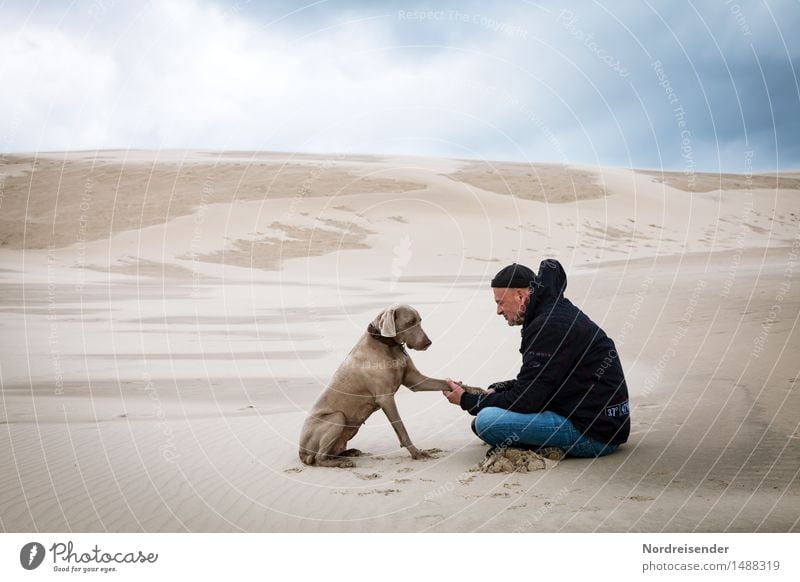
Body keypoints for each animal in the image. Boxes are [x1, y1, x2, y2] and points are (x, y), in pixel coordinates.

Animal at [300, 304, 484, 468]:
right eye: (410, 322)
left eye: (420, 321)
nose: (428, 343)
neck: (388, 345)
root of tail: (301, 452)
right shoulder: (385, 398)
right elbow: (401, 428)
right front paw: (416, 453)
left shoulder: (415, 381)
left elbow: (446, 383)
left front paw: (475, 390)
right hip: (337, 417)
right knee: (319, 458)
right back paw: (342, 463)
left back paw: (350, 452)